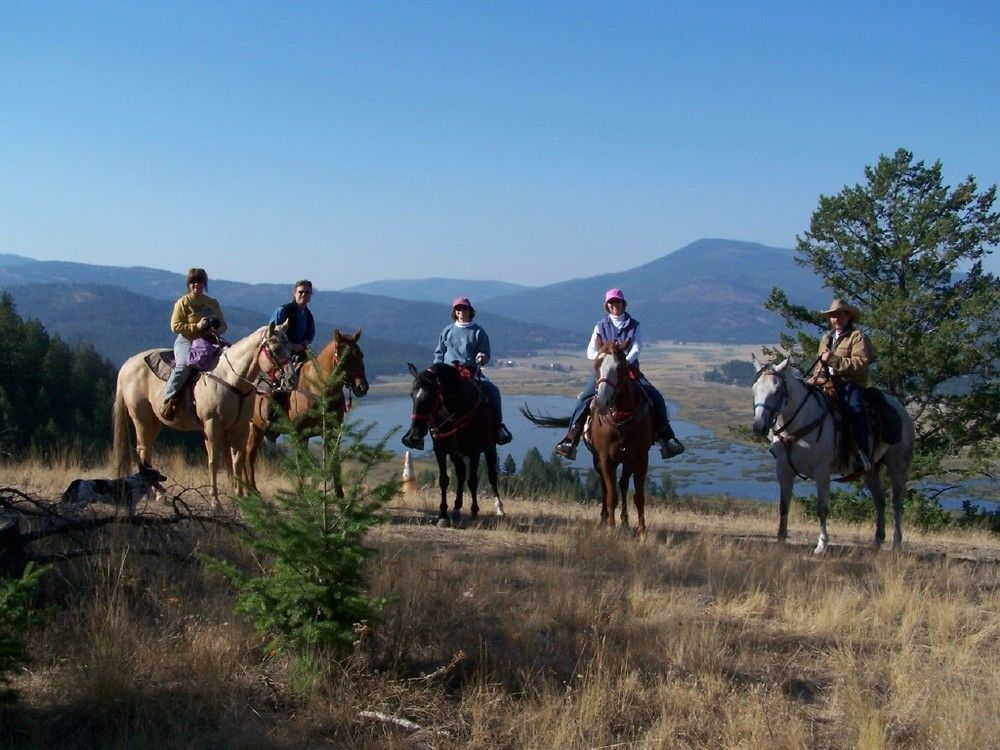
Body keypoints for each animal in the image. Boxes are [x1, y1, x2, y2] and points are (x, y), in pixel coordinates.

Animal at [114, 326, 292, 516]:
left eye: (288, 344)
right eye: (276, 348)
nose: (291, 378)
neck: (231, 379)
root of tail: (126, 365)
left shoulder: (240, 427)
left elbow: (237, 461)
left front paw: (240, 498)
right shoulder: (212, 425)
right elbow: (214, 462)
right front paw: (215, 502)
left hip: (154, 422)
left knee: (146, 452)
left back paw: (160, 495)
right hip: (142, 420)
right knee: (143, 450)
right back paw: (154, 494)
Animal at [244, 328, 370, 494]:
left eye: (361, 355)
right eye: (345, 357)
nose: (362, 387)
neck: (318, 388)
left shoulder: (332, 431)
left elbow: (334, 462)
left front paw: (339, 494)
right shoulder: (300, 433)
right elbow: (303, 462)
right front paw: (302, 493)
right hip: (254, 427)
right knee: (248, 454)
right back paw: (251, 489)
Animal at [400, 364, 504, 528]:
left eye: (431, 397)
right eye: (412, 395)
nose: (415, 435)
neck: (454, 412)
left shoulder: (474, 451)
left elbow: (473, 481)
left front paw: (474, 512)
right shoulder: (440, 450)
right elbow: (444, 480)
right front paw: (443, 515)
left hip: (490, 447)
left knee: (491, 475)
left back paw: (499, 508)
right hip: (456, 453)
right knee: (461, 474)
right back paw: (456, 508)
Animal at [524, 338, 656, 536]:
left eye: (620, 366)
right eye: (596, 365)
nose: (601, 401)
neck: (621, 419)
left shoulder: (640, 457)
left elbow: (639, 496)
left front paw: (641, 532)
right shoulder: (605, 458)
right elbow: (611, 495)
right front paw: (610, 527)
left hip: (627, 460)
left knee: (623, 484)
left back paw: (625, 522)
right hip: (598, 459)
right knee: (605, 486)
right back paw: (604, 520)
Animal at [752, 356, 916, 556]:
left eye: (776, 391)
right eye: (754, 389)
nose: (759, 427)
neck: (801, 422)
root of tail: (902, 410)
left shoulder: (821, 471)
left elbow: (822, 508)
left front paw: (821, 545)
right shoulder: (784, 469)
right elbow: (784, 505)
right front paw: (781, 539)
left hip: (898, 466)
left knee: (896, 502)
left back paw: (896, 543)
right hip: (871, 470)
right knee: (880, 502)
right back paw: (877, 541)